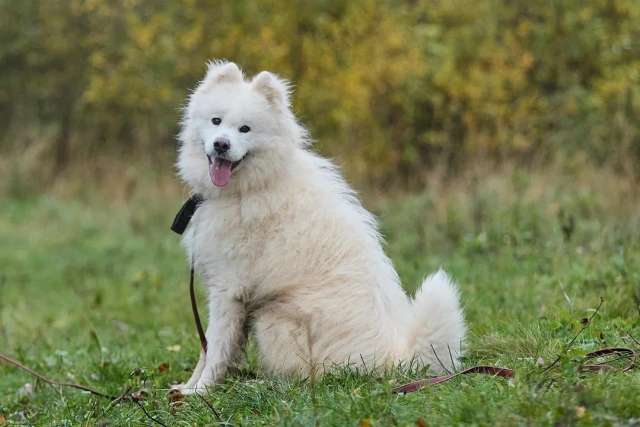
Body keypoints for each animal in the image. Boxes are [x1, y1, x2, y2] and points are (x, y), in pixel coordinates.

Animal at [174, 60, 464, 394]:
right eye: (216, 121)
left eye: (244, 129)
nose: (221, 144)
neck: (253, 186)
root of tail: (394, 362)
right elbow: (207, 350)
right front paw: (185, 388)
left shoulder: (228, 290)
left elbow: (215, 349)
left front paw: (200, 391)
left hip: (274, 318)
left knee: (305, 380)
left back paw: (260, 385)